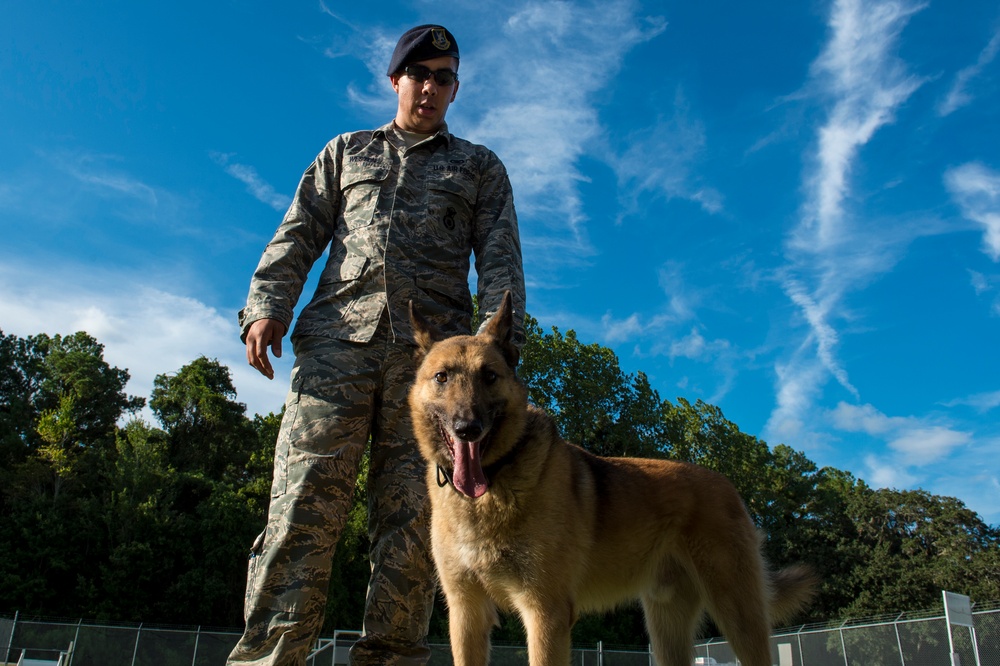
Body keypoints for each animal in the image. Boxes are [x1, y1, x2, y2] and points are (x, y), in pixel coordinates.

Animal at [410, 294, 816, 664]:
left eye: (489, 376)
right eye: (442, 377)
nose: (468, 428)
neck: (493, 485)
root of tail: (727, 484)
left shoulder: (545, 612)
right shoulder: (467, 613)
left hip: (738, 614)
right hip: (667, 628)